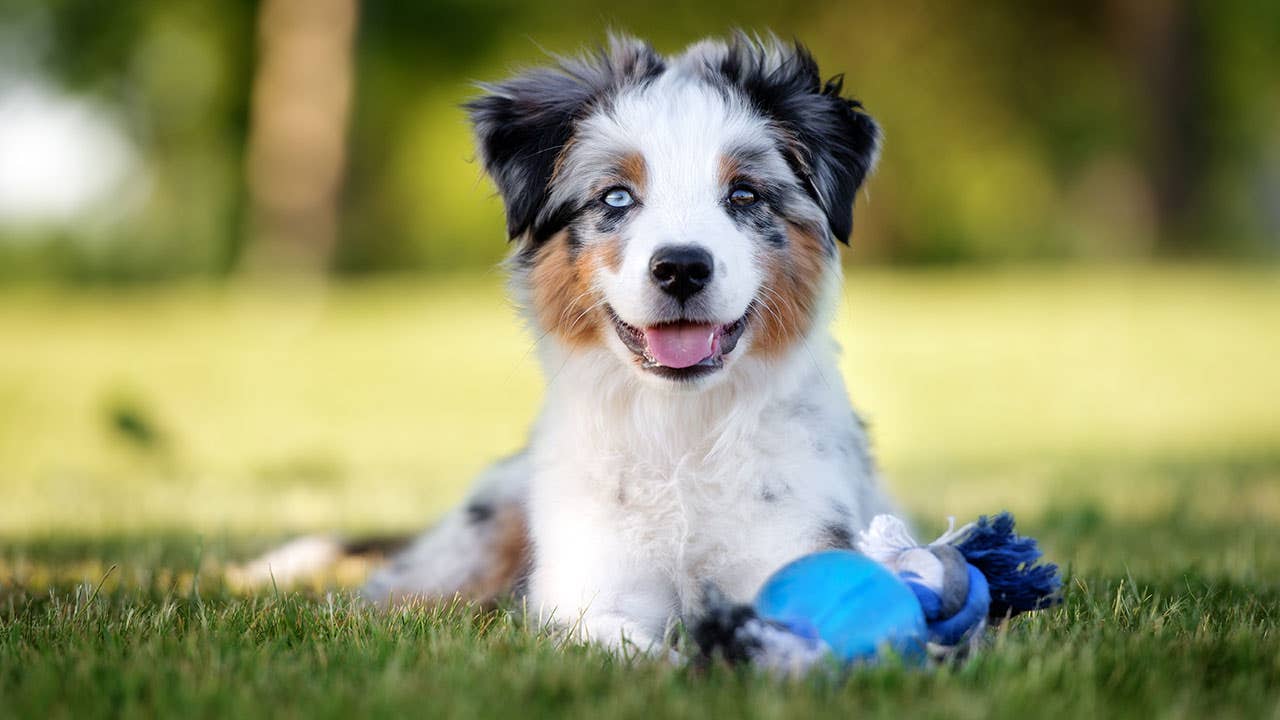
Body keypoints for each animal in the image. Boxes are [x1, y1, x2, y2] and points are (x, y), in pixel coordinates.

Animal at [262, 32, 901, 650]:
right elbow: (629, 650)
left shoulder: (791, 545)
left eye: (744, 195)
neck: (678, 432)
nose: (681, 268)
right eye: (616, 197)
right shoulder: (586, 593)